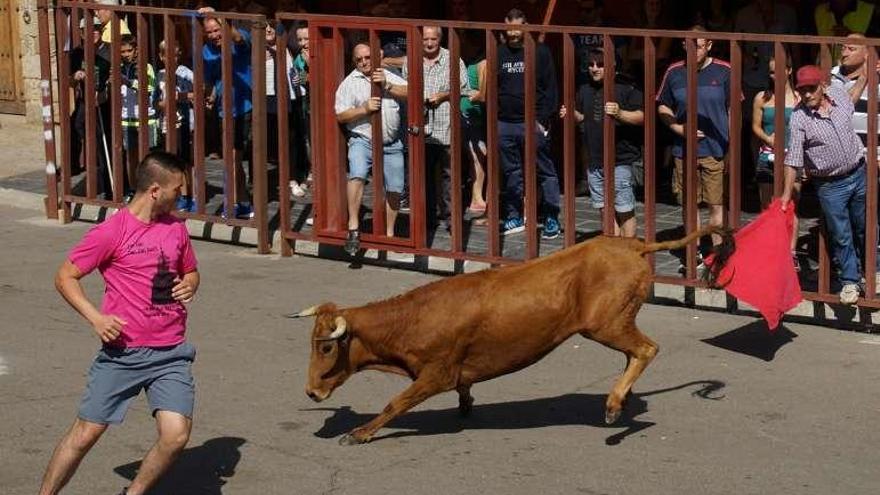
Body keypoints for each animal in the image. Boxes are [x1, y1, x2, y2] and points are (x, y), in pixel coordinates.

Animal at [292, 227, 732, 444]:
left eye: (327, 346)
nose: (311, 392)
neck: (412, 318)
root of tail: (635, 247)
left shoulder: (435, 373)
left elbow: (395, 403)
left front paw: (359, 434)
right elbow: (461, 389)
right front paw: (466, 403)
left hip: (605, 324)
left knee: (646, 349)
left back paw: (611, 408)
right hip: (614, 323)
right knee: (635, 353)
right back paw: (618, 401)